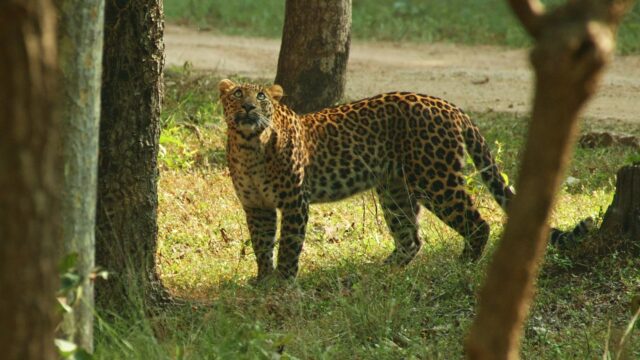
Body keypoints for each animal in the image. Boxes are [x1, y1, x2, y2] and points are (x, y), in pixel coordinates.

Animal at [218, 79, 592, 282]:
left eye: (261, 97)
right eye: (237, 95)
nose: (249, 107)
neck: (250, 145)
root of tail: (450, 105)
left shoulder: (295, 202)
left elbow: (290, 243)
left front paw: (284, 281)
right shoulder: (256, 206)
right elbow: (261, 243)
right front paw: (263, 280)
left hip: (435, 178)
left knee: (477, 222)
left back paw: (463, 265)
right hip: (395, 188)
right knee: (410, 237)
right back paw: (381, 271)